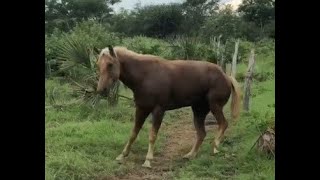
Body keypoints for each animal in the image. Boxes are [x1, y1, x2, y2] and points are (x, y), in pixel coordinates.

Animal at [96, 44, 241, 167]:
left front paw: (148, 160)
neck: (144, 76)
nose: (101, 90)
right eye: (98, 65)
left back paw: (215, 147)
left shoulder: (158, 110)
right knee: (201, 133)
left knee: (223, 124)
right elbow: (133, 133)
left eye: (110, 64)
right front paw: (122, 155)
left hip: (214, 106)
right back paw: (190, 155)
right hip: (198, 110)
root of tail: (226, 77)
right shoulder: (141, 109)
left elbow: (152, 135)